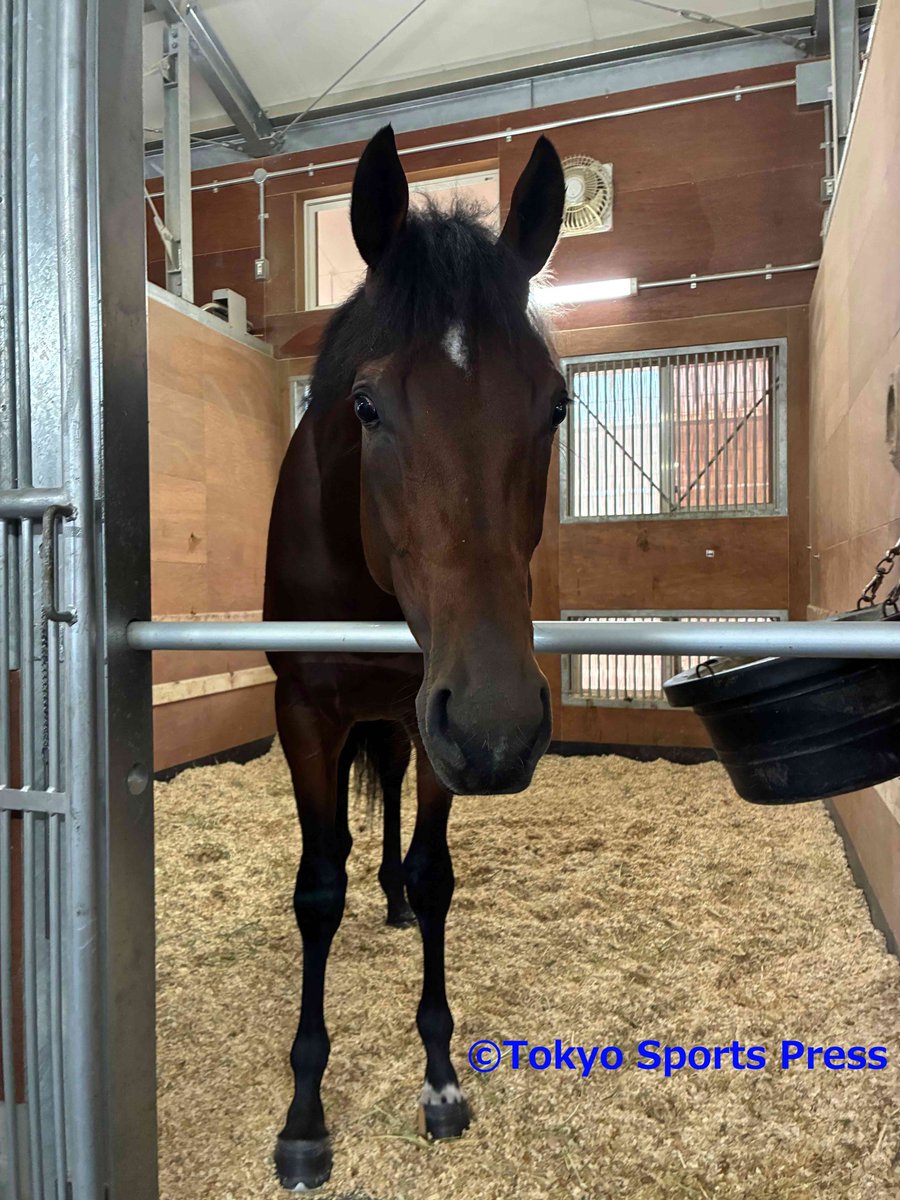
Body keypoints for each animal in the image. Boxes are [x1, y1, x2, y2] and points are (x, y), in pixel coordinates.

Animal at [263, 123, 566, 1190]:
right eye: (365, 407)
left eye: (556, 408)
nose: (501, 730)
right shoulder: (305, 714)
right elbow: (317, 887)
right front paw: (304, 1116)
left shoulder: (436, 718)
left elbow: (435, 874)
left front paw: (438, 1075)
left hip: (414, 716)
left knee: (392, 787)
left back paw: (391, 898)